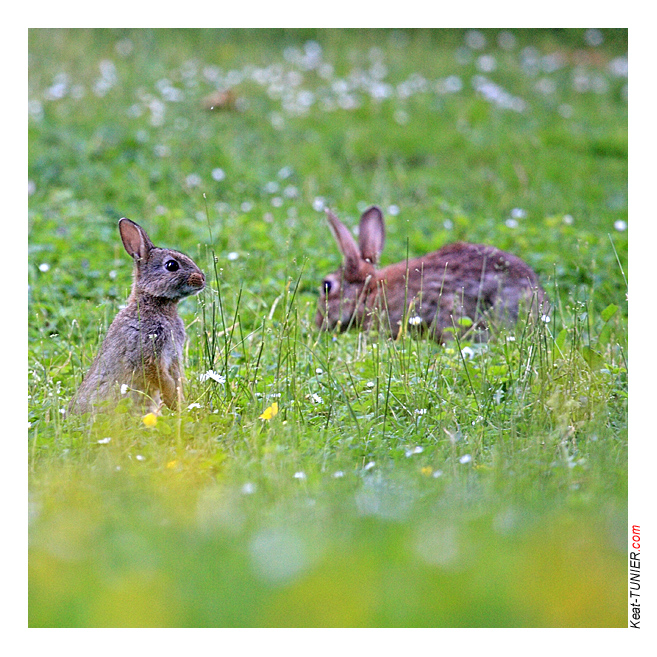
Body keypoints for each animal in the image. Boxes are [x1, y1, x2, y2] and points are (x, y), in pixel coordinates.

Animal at [69, 218, 206, 415]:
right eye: (171, 265)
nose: (201, 279)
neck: (154, 304)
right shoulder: (147, 353)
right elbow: (161, 377)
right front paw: (173, 401)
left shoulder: (173, 357)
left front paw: (178, 403)